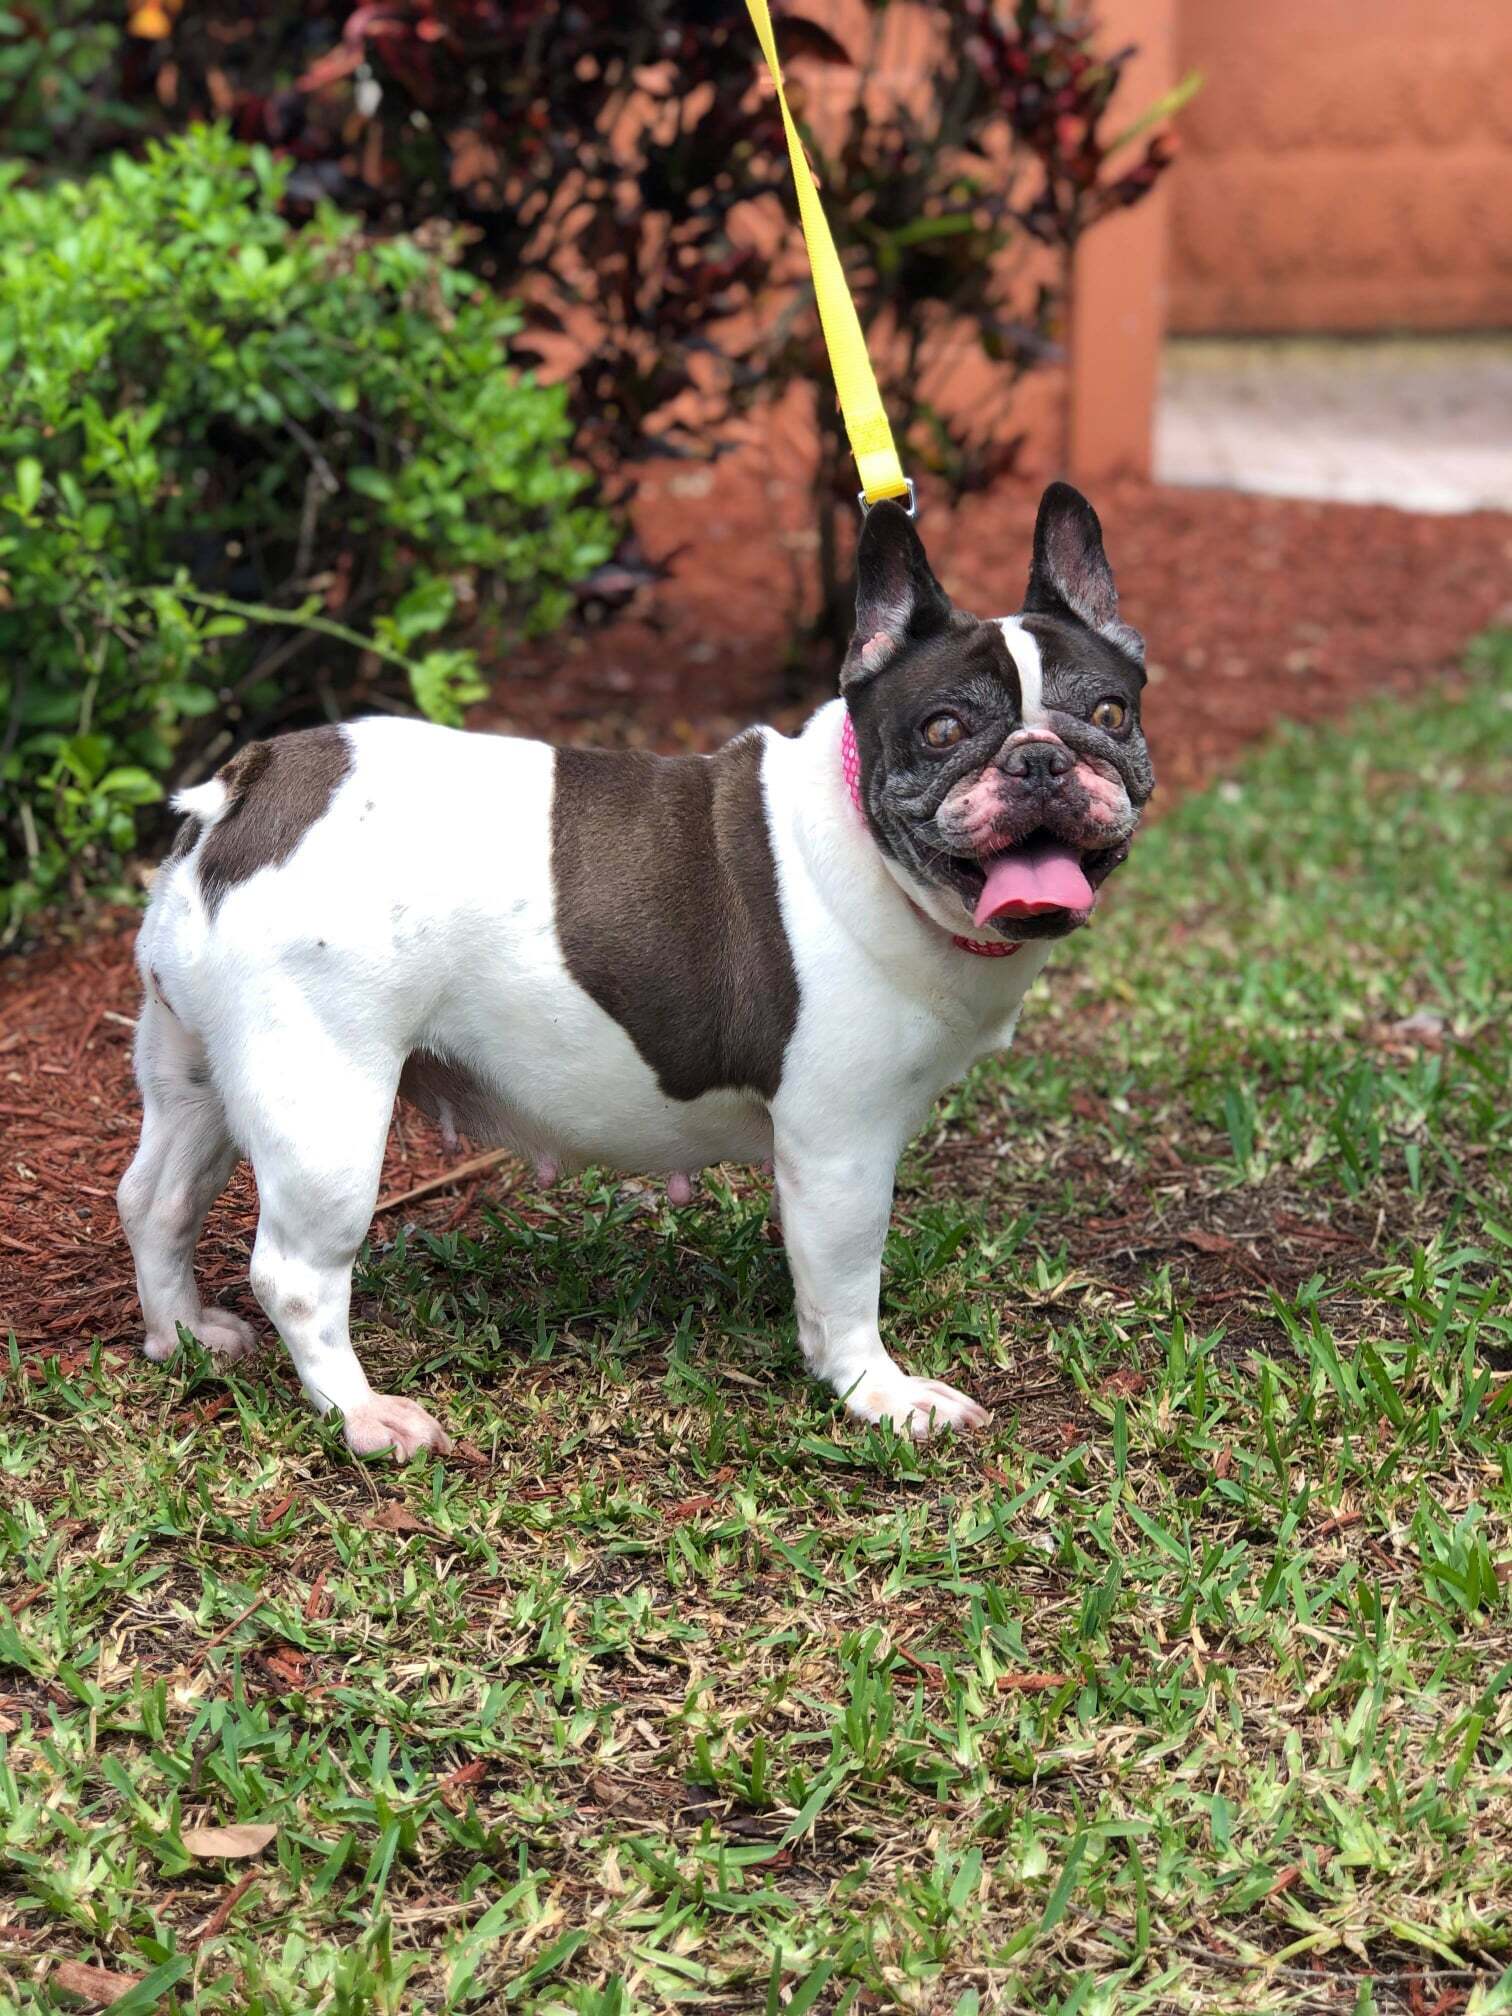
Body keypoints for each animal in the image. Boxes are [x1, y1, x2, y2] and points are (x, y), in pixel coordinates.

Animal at [118, 475, 1153, 1451]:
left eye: (1111, 714)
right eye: (943, 730)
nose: (1040, 759)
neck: (870, 846)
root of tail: (243, 792)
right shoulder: (840, 1145)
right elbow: (844, 1283)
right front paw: (877, 1394)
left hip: (201, 1069)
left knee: (158, 1199)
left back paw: (185, 1335)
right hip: (325, 1101)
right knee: (295, 1272)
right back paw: (363, 1415)